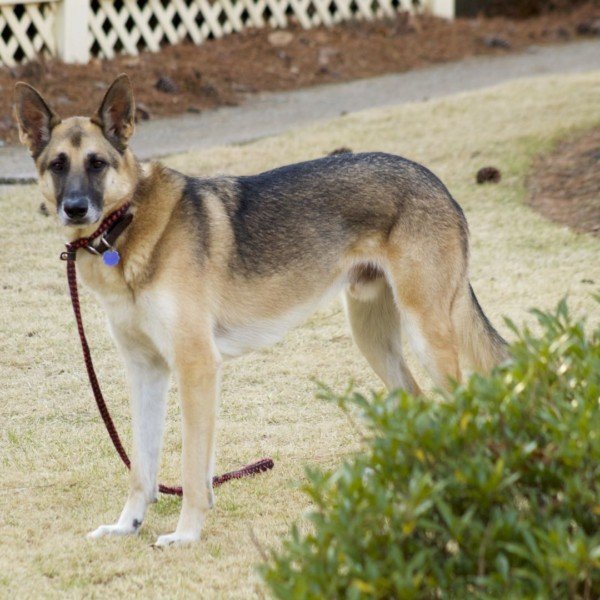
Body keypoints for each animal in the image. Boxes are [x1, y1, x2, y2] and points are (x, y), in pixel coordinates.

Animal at [14, 74, 506, 544]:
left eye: (97, 163)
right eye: (58, 165)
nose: (75, 209)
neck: (127, 222)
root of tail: (434, 181)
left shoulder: (196, 366)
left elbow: (191, 466)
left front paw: (186, 533)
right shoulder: (145, 371)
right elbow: (142, 467)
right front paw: (127, 526)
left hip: (427, 332)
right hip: (373, 338)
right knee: (418, 402)